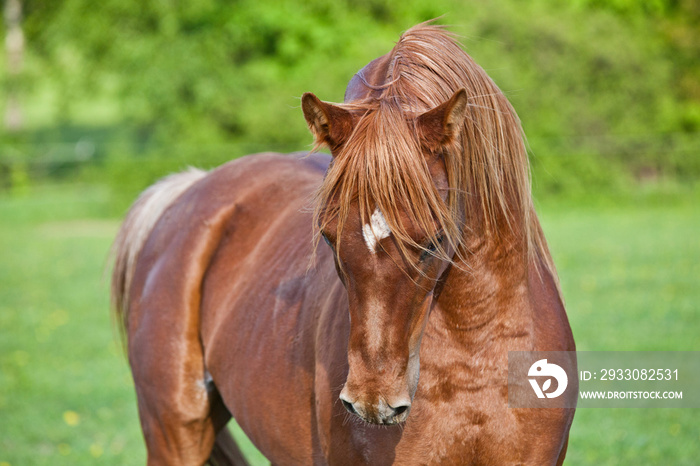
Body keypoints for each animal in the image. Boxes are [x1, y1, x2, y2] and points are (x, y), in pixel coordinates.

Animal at [110, 22, 576, 466]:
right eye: (327, 236)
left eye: (434, 239)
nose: (372, 402)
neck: (475, 358)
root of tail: (191, 187)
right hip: (175, 435)